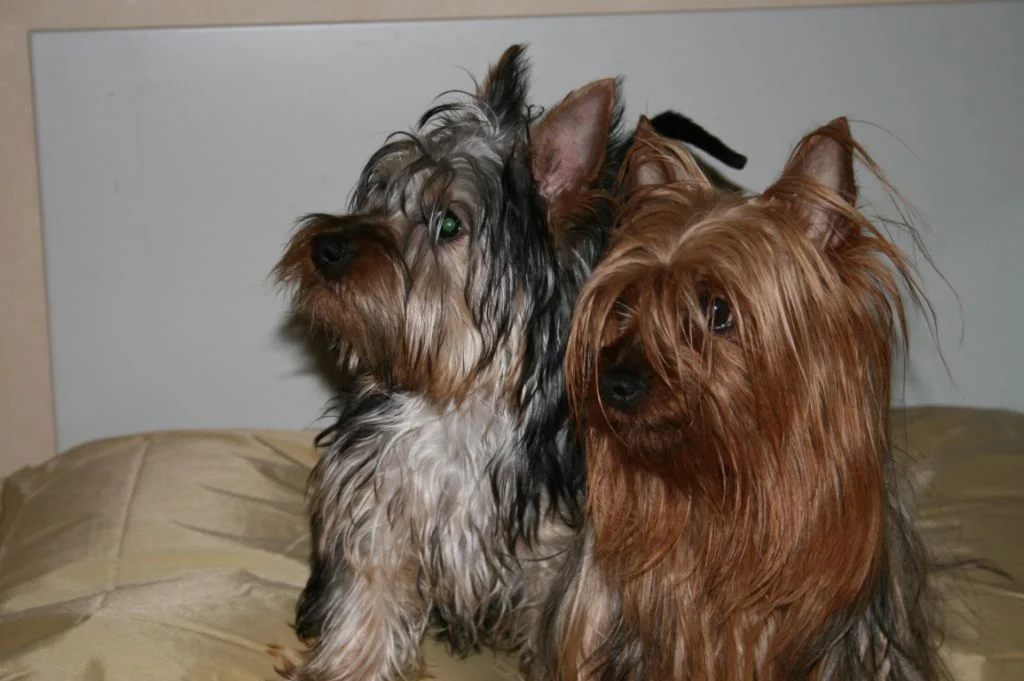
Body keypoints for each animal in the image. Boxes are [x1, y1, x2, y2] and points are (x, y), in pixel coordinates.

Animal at [274, 46, 746, 681]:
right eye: (379, 196)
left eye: (449, 223)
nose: (325, 249)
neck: (462, 397)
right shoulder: (379, 497)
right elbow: (366, 602)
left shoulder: (566, 547)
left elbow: (568, 632)